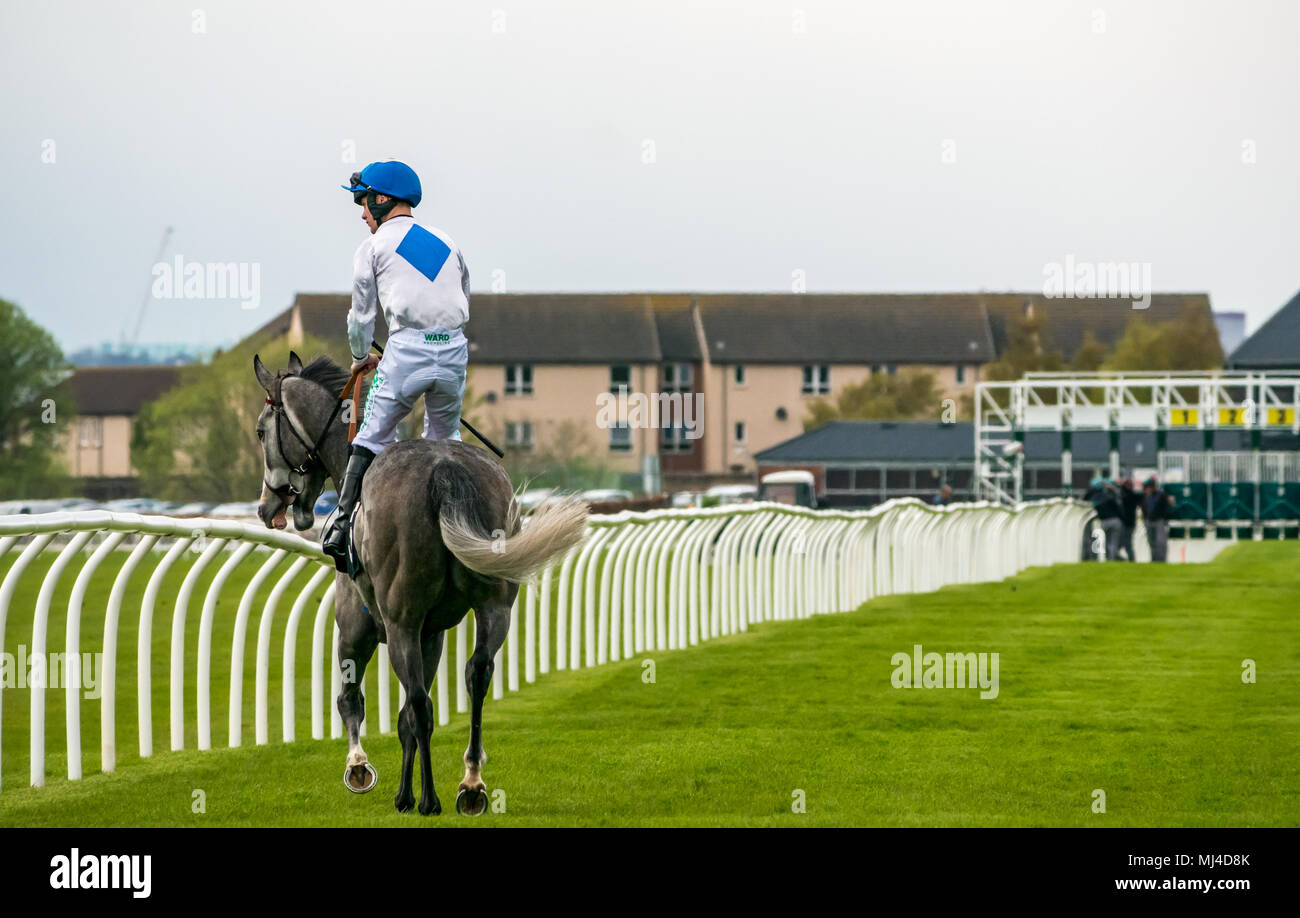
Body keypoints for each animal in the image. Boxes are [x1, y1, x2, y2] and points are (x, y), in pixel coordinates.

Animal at [250, 351, 587, 816]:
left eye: (262, 430)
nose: (267, 507)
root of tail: (445, 467)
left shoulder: (356, 627)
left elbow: (353, 700)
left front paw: (361, 769)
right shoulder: (433, 634)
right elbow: (405, 717)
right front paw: (403, 793)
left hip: (401, 621)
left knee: (419, 704)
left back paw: (431, 798)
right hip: (493, 607)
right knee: (476, 675)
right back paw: (470, 784)